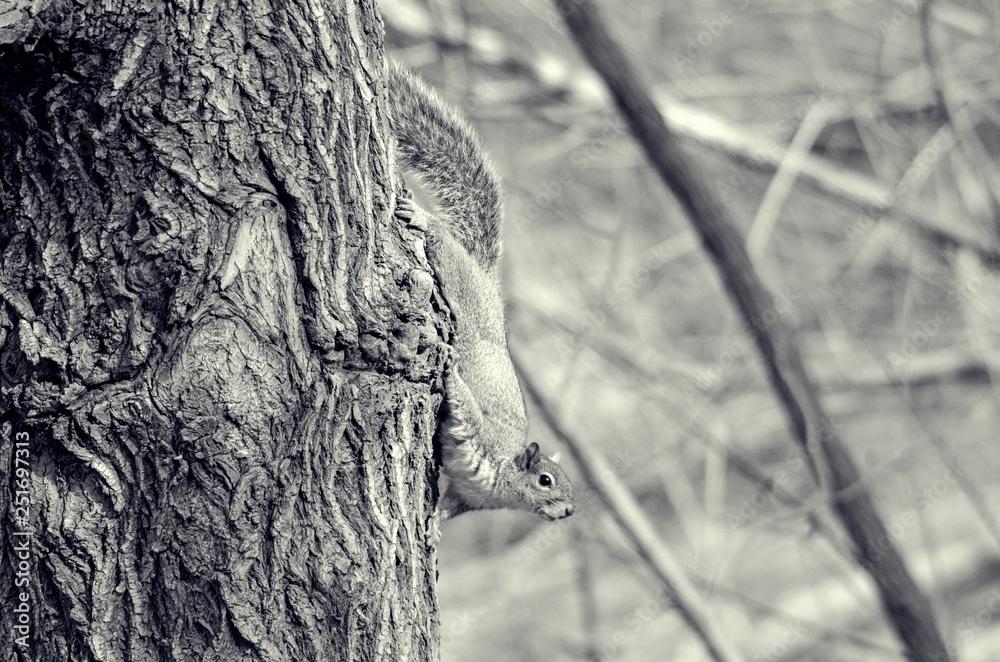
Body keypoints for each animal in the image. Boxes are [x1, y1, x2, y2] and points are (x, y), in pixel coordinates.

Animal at [388, 60, 575, 522]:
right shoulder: (481, 435)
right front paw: (452, 373)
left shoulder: (468, 499)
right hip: (458, 278)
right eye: (545, 481)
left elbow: (448, 509)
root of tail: (489, 281)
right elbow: (466, 403)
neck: (502, 484)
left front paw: (433, 525)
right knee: (442, 241)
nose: (568, 512)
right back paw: (422, 218)